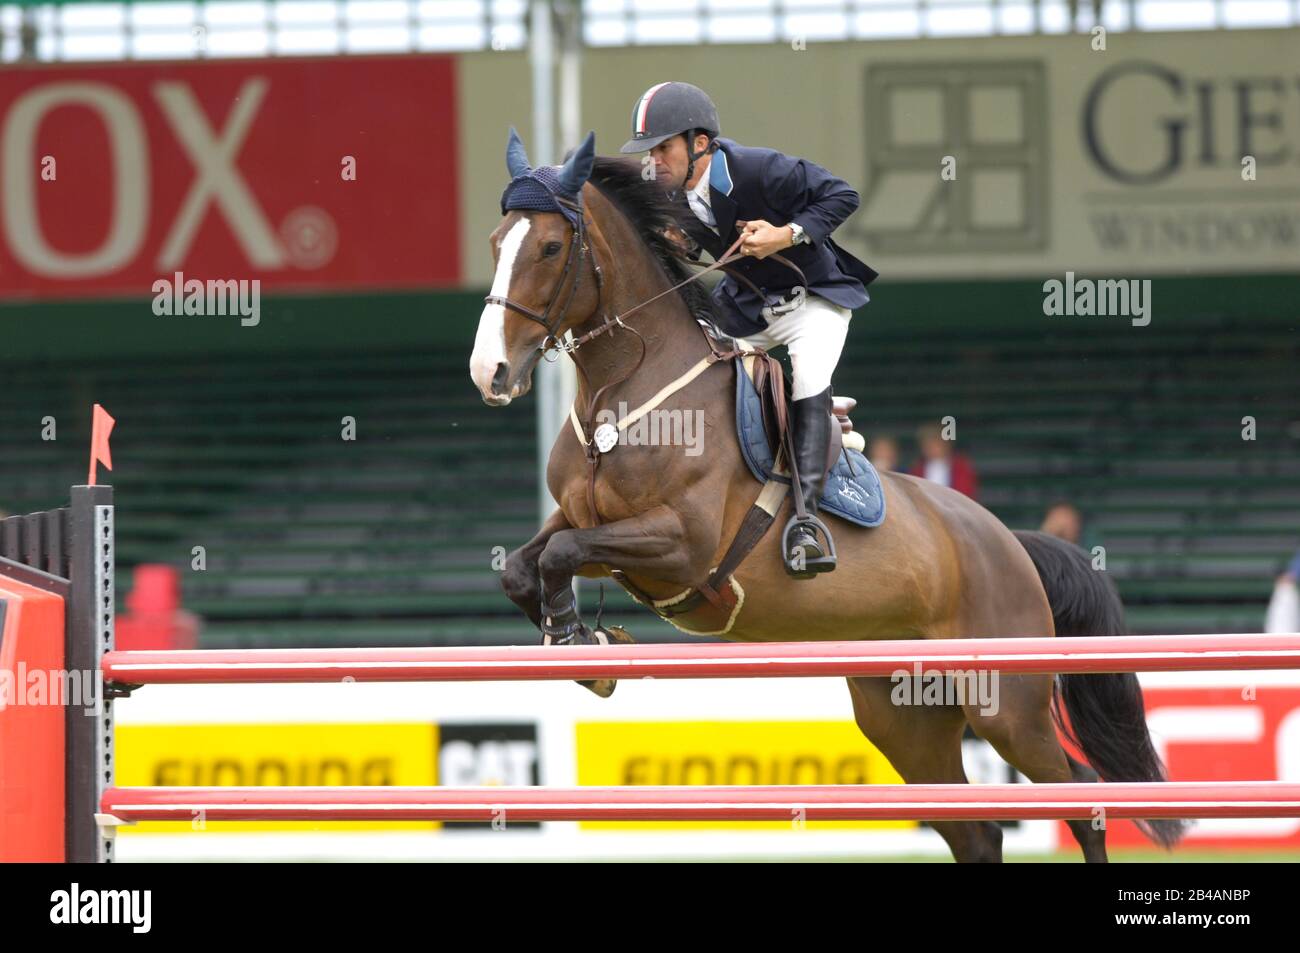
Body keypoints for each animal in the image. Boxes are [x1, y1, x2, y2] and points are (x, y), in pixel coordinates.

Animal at [467, 128, 1190, 863]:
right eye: (497, 243)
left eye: (549, 247)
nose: (488, 372)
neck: (624, 389)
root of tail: (1009, 542)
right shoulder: (582, 515)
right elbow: (529, 561)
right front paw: (578, 636)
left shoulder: (681, 545)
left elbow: (563, 552)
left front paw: (576, 638)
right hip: (903, 711)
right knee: (976, 826)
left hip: (1005, 701)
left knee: (1079, 791)